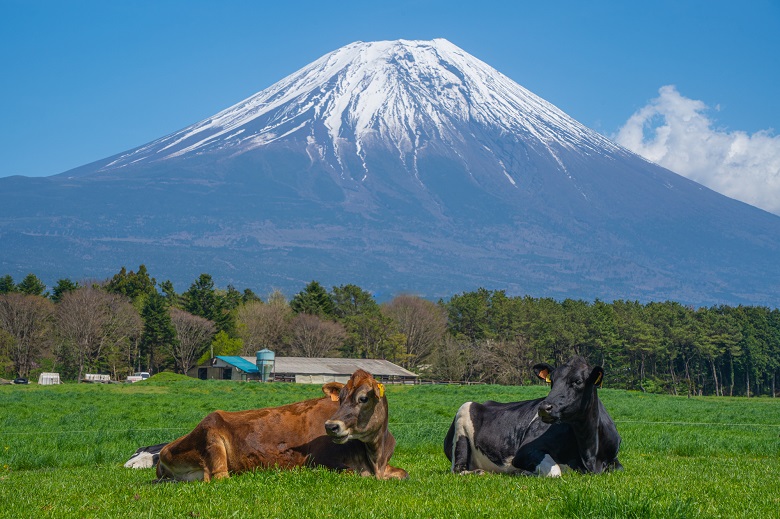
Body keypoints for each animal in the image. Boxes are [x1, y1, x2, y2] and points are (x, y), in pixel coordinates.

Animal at [126, 370, 408, 484]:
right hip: (211, 434)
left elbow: (404, 473)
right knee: (220, 477)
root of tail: (163, 451)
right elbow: (354, 474)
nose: (331, 426)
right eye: (341, 397)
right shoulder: (320, 463)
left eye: (363, 398)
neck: (375, 457)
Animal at [444, 356, 620, 478]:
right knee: (458, 469)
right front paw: (523, 472)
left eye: (577, 381)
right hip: (463, 413)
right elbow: (555, 471)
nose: (543, 408)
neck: (589, 454)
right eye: (552, 381)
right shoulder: (523, 452)